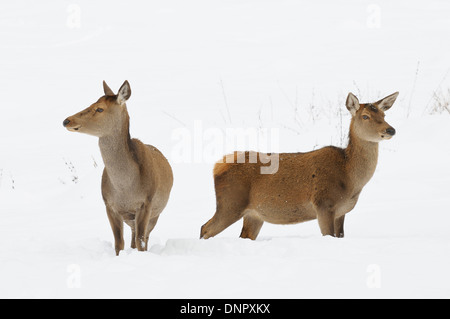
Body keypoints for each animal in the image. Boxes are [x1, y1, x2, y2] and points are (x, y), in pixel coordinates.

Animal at [63, 81, 174, 256]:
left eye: (100, 109)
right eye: (91, 103)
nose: (67, 121)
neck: (125, 190)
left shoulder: (146, 203)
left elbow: (141, 241)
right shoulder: (109, 205)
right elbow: (119, 242)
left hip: (156, 213)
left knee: (144, 237)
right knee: (133, 237)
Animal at [200, 92, 398, 240]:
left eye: (384, 115)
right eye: (365, 116)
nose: (391, 130)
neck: (351, 181)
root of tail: (217, 166)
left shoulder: (342, 212)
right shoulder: (323, 203)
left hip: (253, 215)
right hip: (230, 203)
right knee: (204, 228)